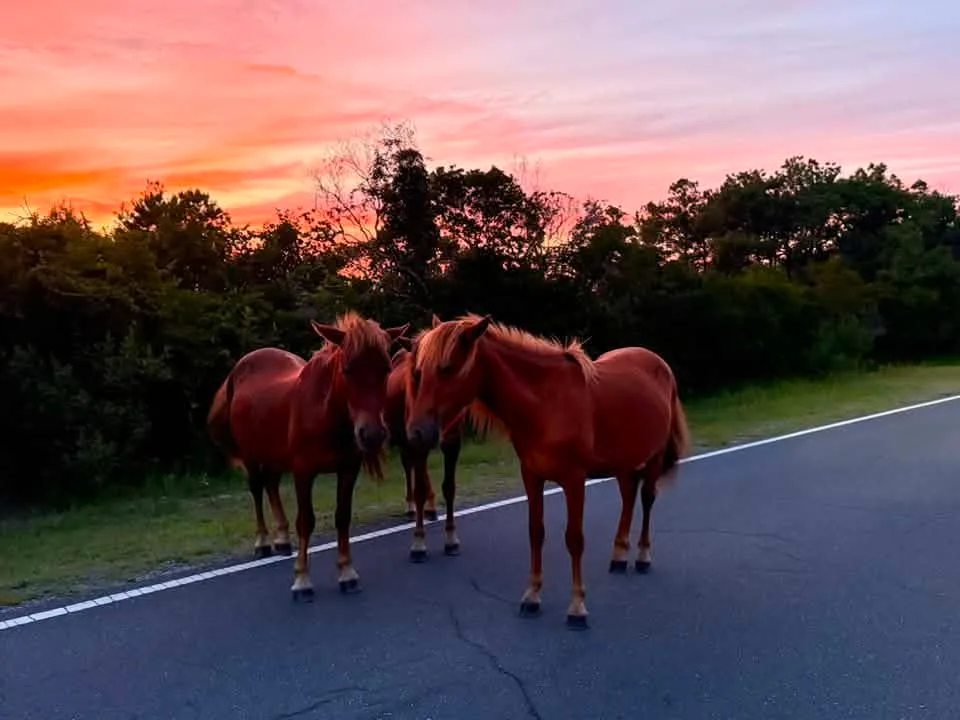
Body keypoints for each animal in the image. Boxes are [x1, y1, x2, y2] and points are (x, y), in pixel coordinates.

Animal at [206, 311, 410, 599]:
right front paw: (302, 580)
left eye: (386, 370)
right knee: (257, 490)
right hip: (251, 455)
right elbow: (305, 521)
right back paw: (263, 542)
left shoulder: (348, 469)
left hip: (274, 455)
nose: (371, 435)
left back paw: (282, 539)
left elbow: (342, 517)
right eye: (347, 370)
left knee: (271, 485)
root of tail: (237, 371)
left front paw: (347, 573)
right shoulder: (303, 471)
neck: (327, 414)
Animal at [386, 342, 465, 562]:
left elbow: (449, 488)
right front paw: (418, 543)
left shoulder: (452, 442)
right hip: (404, 440)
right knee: (408, 467)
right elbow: (419, 489)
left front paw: (451, 539)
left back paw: (430, 509)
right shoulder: (416, 441)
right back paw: (411, 508)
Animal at [405, 313, 690, 629]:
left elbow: (574, 539)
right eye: (418, 372)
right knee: (628, 499)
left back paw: (642, 556)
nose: (416, 433)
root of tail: (659, 363)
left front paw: (577, 607)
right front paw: (532, 596)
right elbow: (536, 533)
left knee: (647, 501)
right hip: (624, 463)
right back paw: (618, 557)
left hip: (653, 460)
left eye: (447, 368)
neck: (545, 404)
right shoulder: (532, 476)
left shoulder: (574, 480)